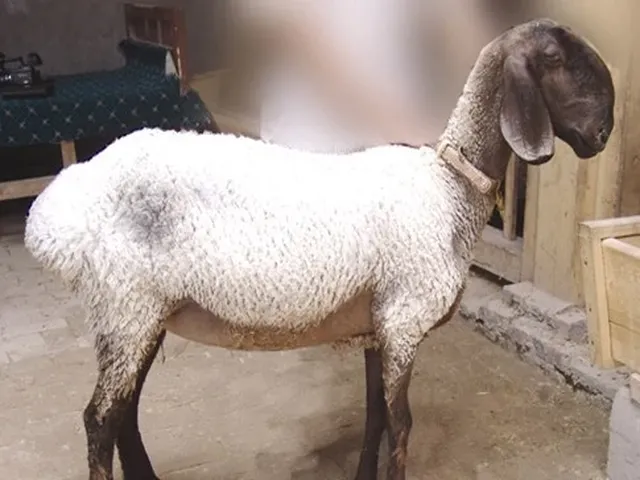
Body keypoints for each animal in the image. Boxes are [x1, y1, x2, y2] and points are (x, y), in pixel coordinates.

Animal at [23, 18, 614, 480]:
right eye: (558, 60)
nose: (603, 134)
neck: (449, 189)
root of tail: (54, 214)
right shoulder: (404, 320)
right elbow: (402, 423)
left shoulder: (379, 325)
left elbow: (375, 416)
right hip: (126, 307)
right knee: (100, 420)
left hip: (138, 313)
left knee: (124, 414)